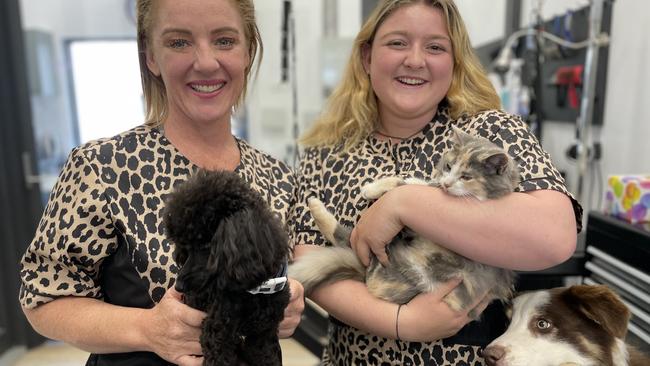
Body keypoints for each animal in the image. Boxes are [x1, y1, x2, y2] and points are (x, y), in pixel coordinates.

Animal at [163, 170, 290, 364]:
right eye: (184, 247)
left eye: (206, 246)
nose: (179, 287)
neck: (254, 292)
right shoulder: (218, 336)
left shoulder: (263, 336)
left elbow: (268, 357)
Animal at [288, 126, 516, 320]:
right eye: (449, 166)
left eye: (467, 176)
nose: (447, 183)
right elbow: (408, 182)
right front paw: (374, 188)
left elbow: (406, 185)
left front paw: (371, 189)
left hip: (408, 270)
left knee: (350, 243)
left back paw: (315, 206)